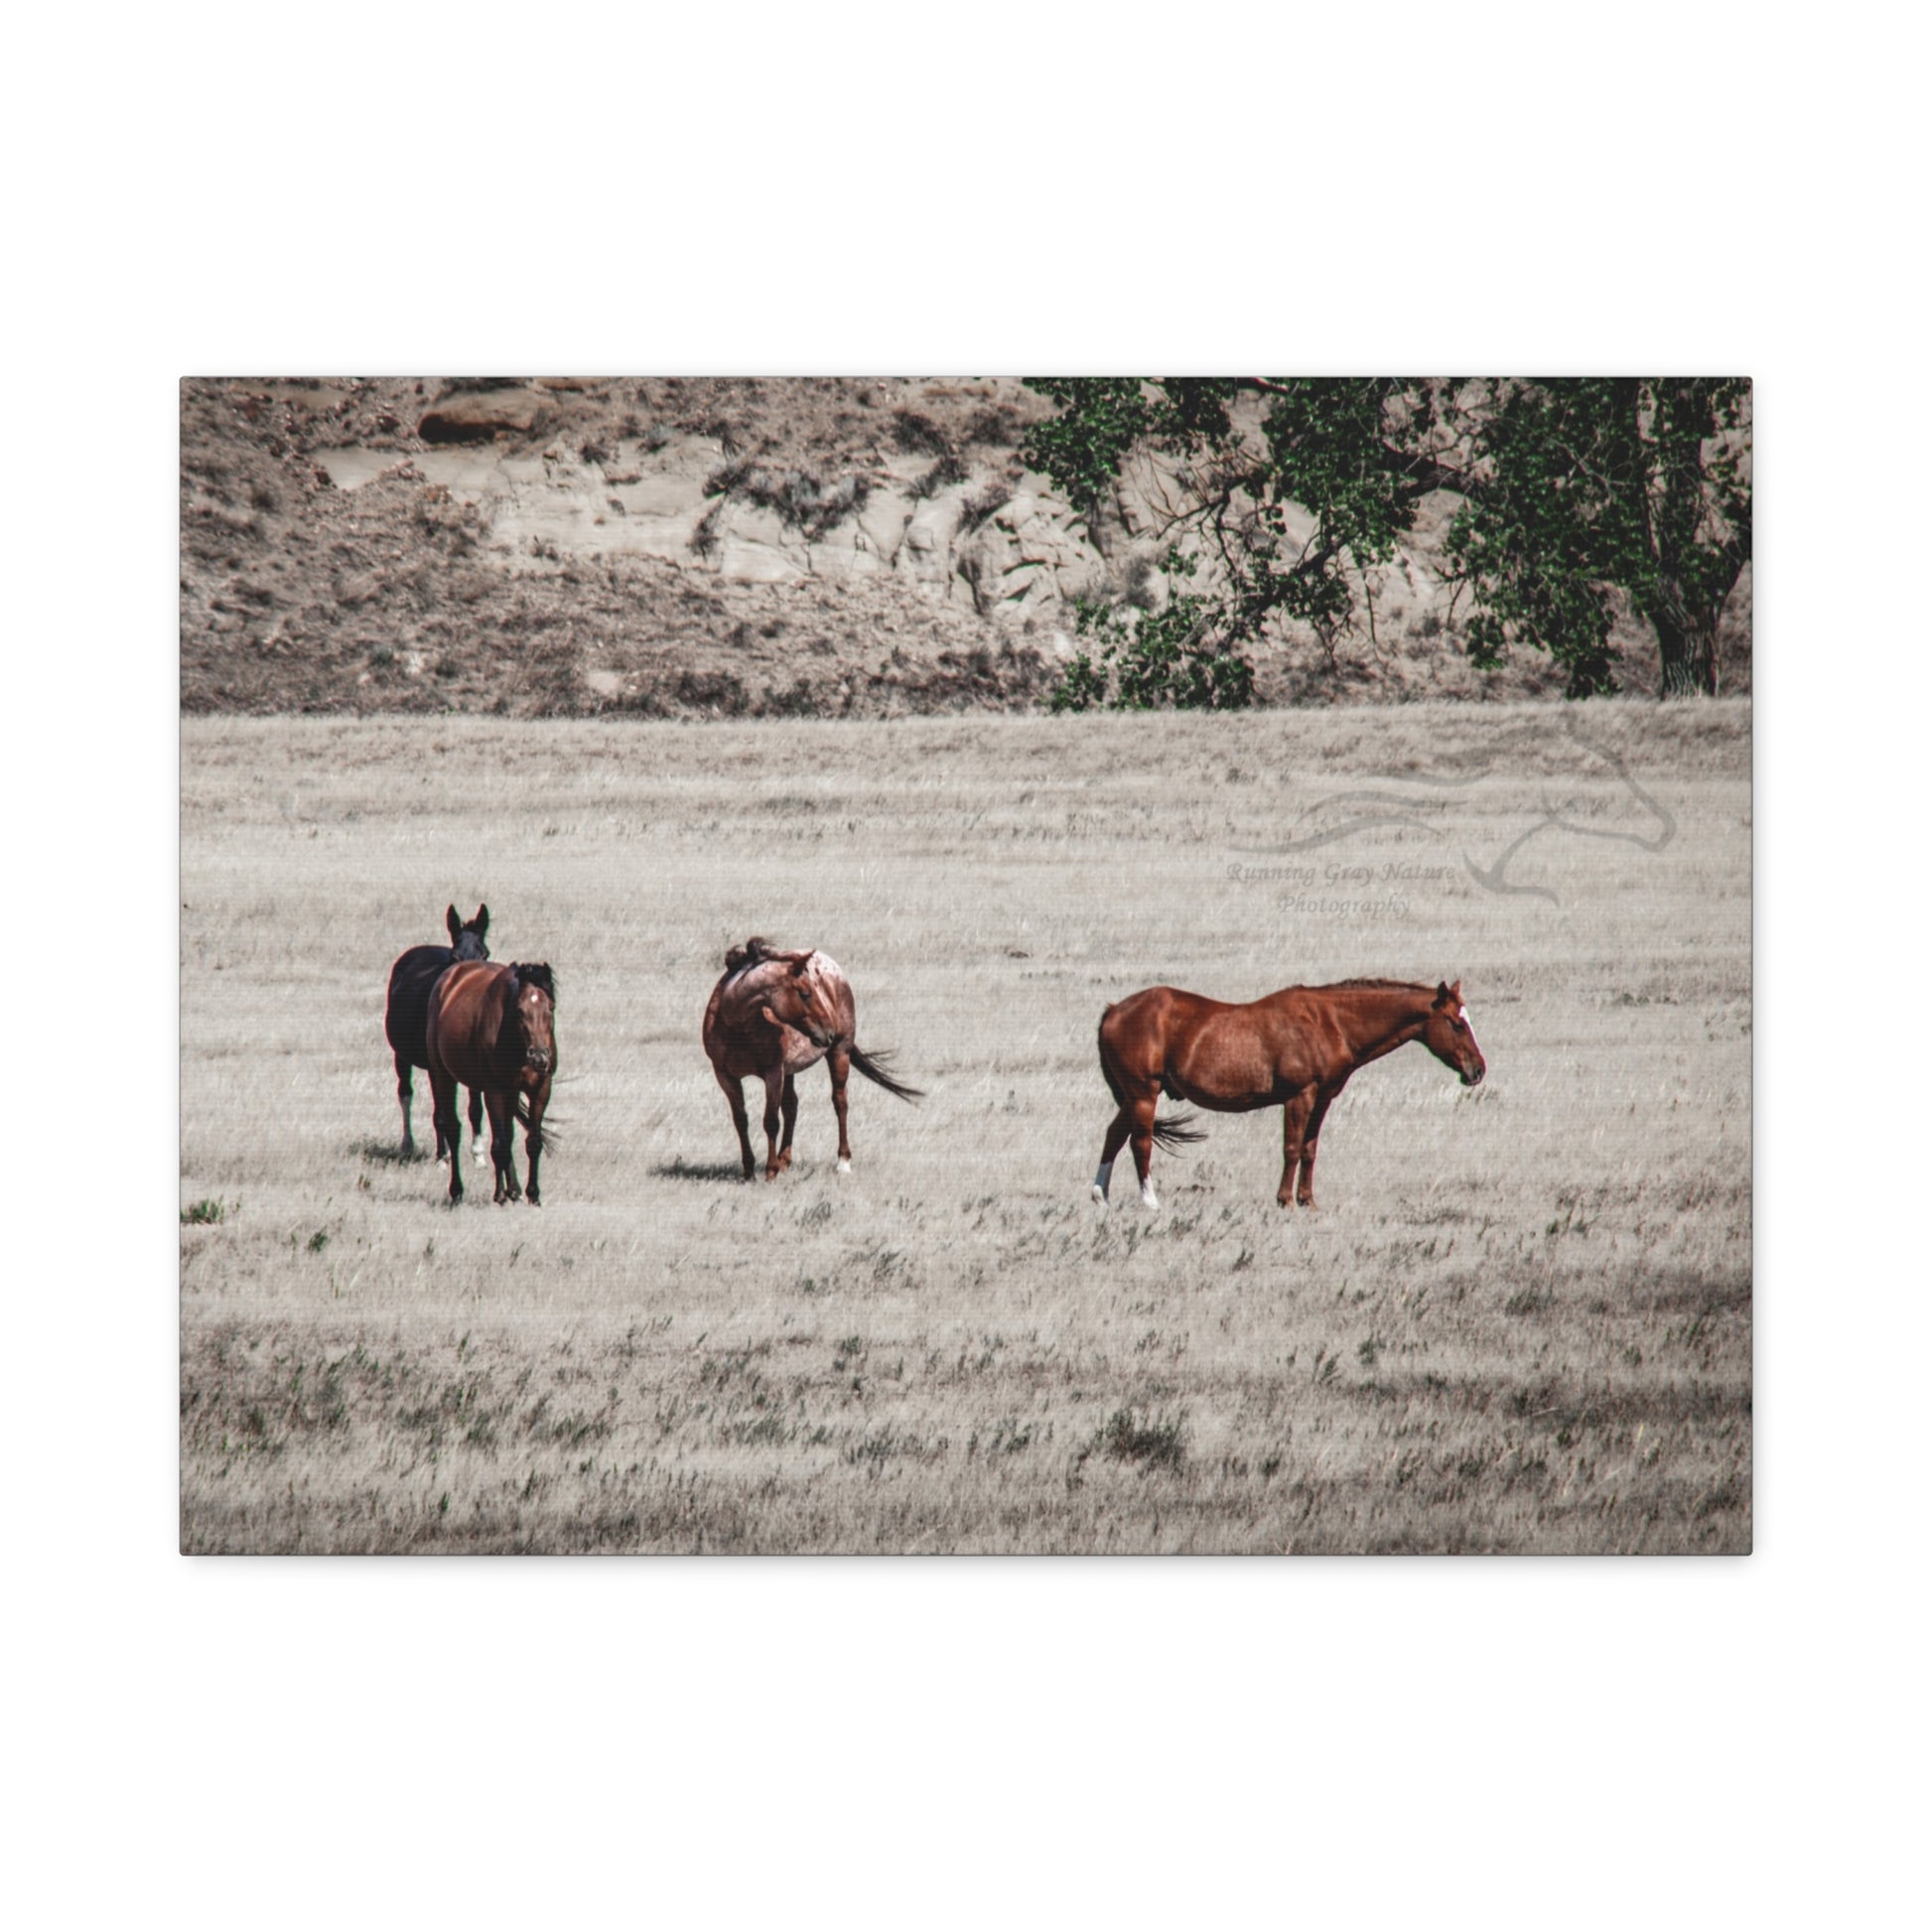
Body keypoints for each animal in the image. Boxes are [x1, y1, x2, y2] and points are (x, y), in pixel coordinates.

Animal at [384, 904, 490, 1162]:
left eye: (485, 955)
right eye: (455, 957)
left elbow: (475, 1109)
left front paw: (478, 1154)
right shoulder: (435, 1067)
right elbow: (440, 1111)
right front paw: (444, 1156)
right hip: (402, 1056)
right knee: (406, 1094)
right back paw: (410, 1145)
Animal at [426, 960, 556, 1206]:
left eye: (551, 1008)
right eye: (519, 1010)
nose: (539, 1057)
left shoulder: (541, 1088)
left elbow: (532, 1142)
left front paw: (532, 1194)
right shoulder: (493, 1091)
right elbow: (499, 1145)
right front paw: (499, 1195)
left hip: (511, 1093)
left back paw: (514, 1190)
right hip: (443, 1076)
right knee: (453, 1130)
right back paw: (457, 1190)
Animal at [702, 937, 922, 1181]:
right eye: (805, 993)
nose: (829, 1032)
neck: (736, 1026)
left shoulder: (773, 1073)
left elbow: (771, 1121)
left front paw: (770, 1171)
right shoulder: (725, 1076)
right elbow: (741, 1120)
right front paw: (749, 1171)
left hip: (839, 1054)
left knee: (840, 1102)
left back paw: (842, 1162)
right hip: (790, 1070)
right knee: (792, 1106)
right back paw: (785, 1159)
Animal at [1092, 977, 1486, 1211]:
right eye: (1456, 1023)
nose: (1478, 1070)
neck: (1329, 1023)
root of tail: (1114, 1011)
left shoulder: (1323, 1098)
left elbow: (1310, 1150)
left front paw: (1307, 1200)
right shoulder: (1300, 1096)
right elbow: (1293, 1148)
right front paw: (1285, 1200)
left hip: (1133, 1096)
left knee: (1114, 1134)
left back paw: (1101, 1196)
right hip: (1144, 1093)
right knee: (1139, 1141)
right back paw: (1150, 1202)